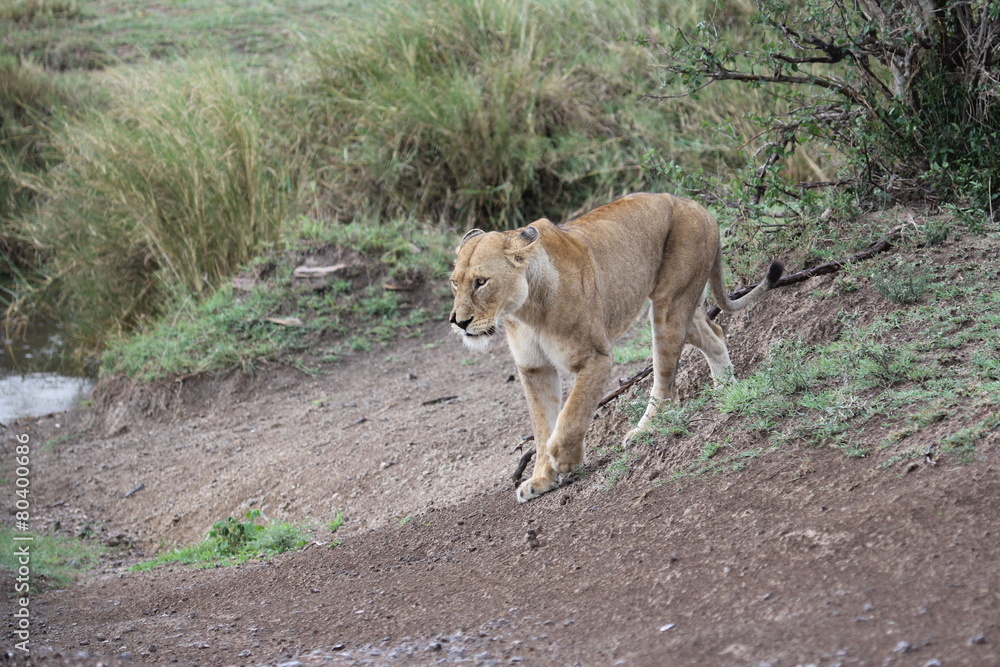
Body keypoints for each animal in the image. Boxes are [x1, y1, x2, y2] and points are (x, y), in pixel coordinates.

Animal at [449, 192, 783, 503]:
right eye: (454, 283)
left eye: (481, 282)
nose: (458, 322)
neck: (525, 311)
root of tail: (696, 205)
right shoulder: (534, 368)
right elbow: (542, 425)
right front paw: (542, 479)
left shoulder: (596, 358)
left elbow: (572, 413)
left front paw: (564, 459)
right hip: (686, 305)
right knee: (714, 333)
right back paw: (728, 390)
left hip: (668, 306)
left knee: (665, 382)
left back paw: (645, 430)